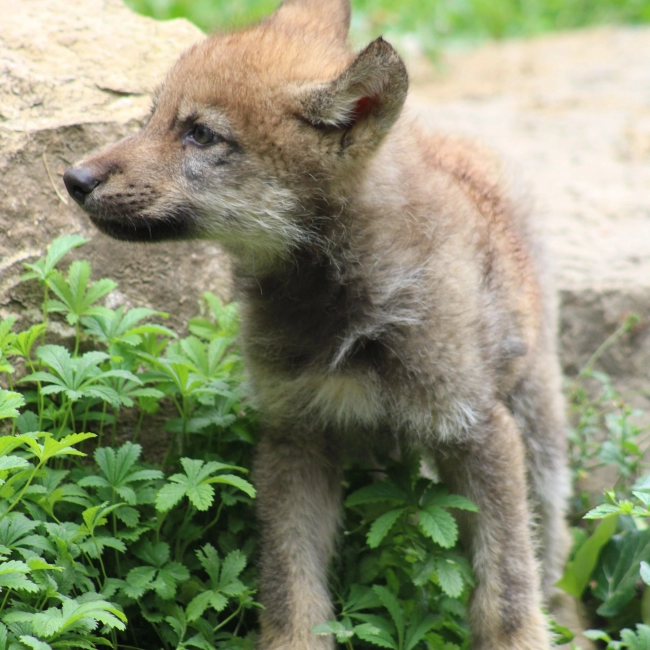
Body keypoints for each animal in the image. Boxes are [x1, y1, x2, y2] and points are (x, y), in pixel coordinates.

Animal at [63, 0, 579, 647]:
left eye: (201, 134)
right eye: (151, 117)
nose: (73, 179)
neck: (342, 310)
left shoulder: (476, 431)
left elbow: (505, 596)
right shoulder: (297, 432)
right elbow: (294, 593)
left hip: (537, 430)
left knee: (553, 548)